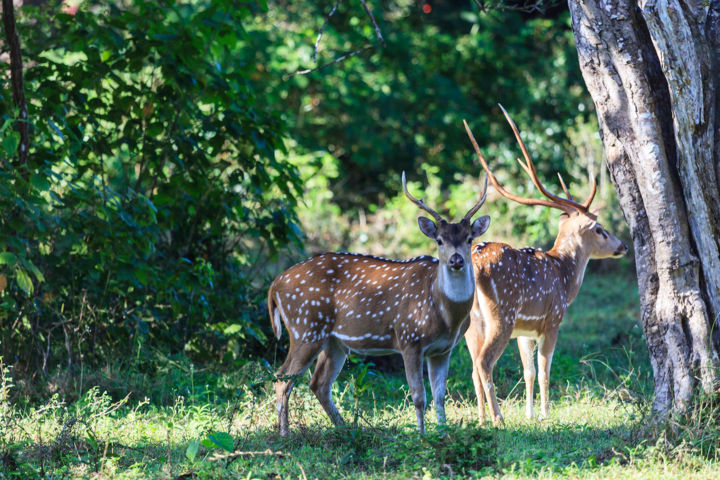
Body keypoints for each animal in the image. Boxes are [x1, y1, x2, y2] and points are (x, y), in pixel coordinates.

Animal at [268, 174, 492, 436]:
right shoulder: (409, 338)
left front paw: (443, 435)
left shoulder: (443, 349)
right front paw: (421, 436)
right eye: (439, 240)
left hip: (333, 341)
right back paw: (285, 434)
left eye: (469, 239)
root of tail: (275, 284)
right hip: (305, 326)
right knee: (282, 377)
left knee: (318, 383)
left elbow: (440, 397)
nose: (456, 260)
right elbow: (419, 397)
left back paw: (346, 429)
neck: (445, 313)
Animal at [464, 108, 628, 424]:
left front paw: (530, 414)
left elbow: (528, 371)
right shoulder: (553, 320)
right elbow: (543, 371)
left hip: (472, 322)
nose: (623, 246)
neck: (564, 274)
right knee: (484, 362)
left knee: (474, 365)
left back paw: (480, 418)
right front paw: (545, 414)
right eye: (600, 229)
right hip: (502, 314)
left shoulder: (525, 330)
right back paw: (498, 419)